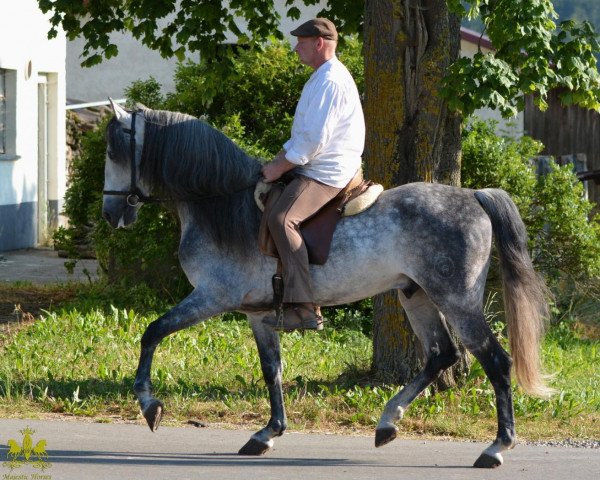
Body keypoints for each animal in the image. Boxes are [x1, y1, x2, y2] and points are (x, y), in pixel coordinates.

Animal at [101, 102, 552, 468]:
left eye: (111, 152)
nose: (109, 214)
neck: (222, 204)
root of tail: (474, 196)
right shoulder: (258, 315)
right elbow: (272, 370)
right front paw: (268, 433)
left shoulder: (211, 297)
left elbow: (152, 332)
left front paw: (149, 405)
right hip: (416, 295)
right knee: (442, 354)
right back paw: (388, 423)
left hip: (457, 300)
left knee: (496, 361)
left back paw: (495, 447)